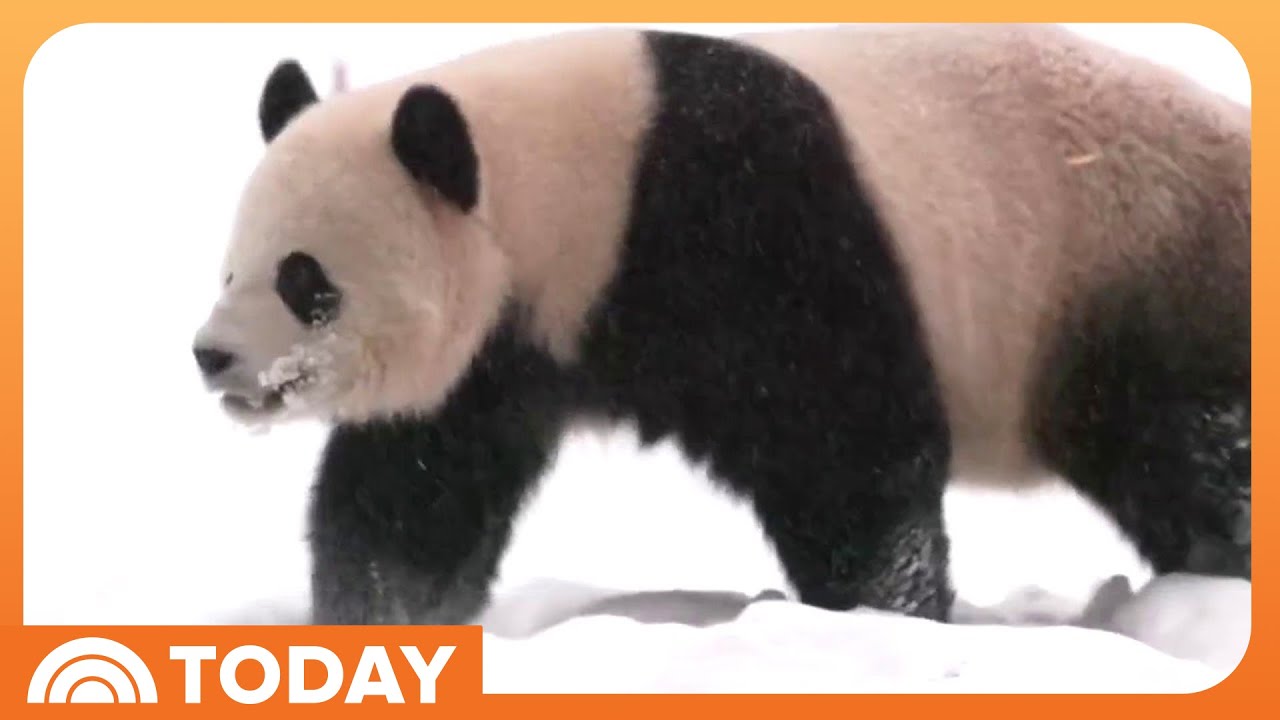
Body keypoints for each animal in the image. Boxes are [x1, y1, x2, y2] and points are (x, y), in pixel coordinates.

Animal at [192, 23, 1251, 625]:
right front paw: (377, 623)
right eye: (229, 266)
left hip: (1141, 260)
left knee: (1190, 447)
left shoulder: (740, 216)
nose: (213, 357)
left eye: (305, 281)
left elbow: (846, 441)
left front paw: (876, 618)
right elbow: (416, 490)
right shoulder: (499, 350)